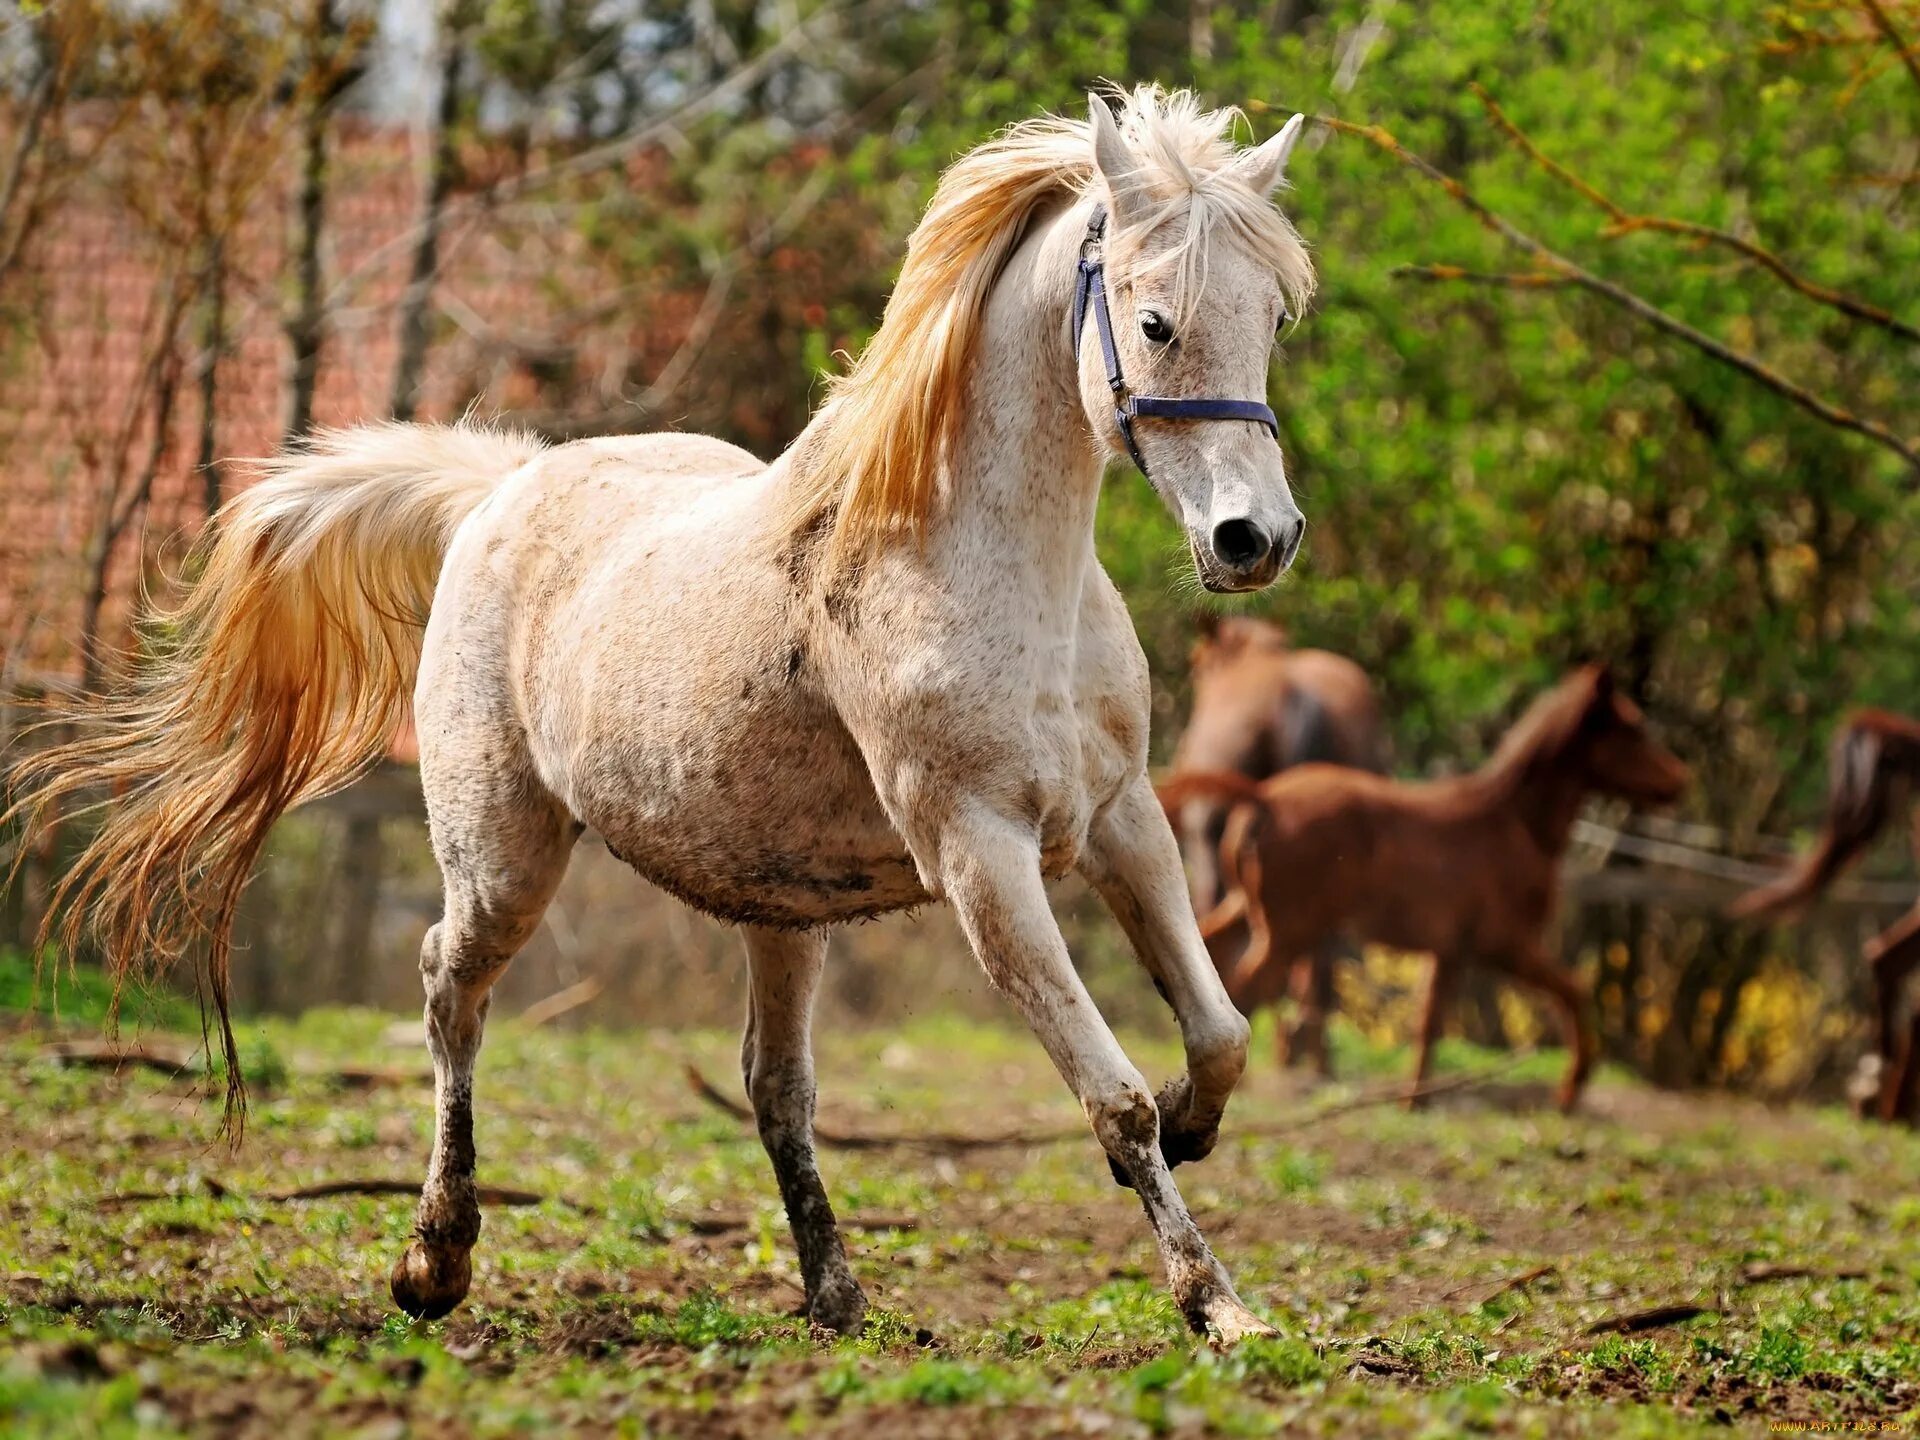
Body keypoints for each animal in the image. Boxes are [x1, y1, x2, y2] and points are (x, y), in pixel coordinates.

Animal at [18, 90, 1320, 1351]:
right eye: (1155, 323)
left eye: (1271, 318)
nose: (1253, 540)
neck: (979, 567)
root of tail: (499, 491)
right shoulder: (981, 858)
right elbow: (1114, 1097)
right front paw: (1219, 1305)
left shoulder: (1121, 821)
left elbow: (1219, 1032)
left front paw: (1200, 1137)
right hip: (503, 861)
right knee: (449, 990)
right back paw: (435, 1261)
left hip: (781, 911)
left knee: (773, 1086)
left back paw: (834, 1298)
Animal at [1152, 668, 1681, 1113]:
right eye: (1634, 729)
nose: (1680, 781)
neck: (1512, 824)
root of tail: (1265, 797)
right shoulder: (1507, 945)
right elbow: (1574, 992)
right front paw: (1570, 1091)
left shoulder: (1450, 952)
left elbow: (1430, 1024)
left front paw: (1415, 1099)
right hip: (1291, 931)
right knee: (1245, 990)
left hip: (1250, 910)